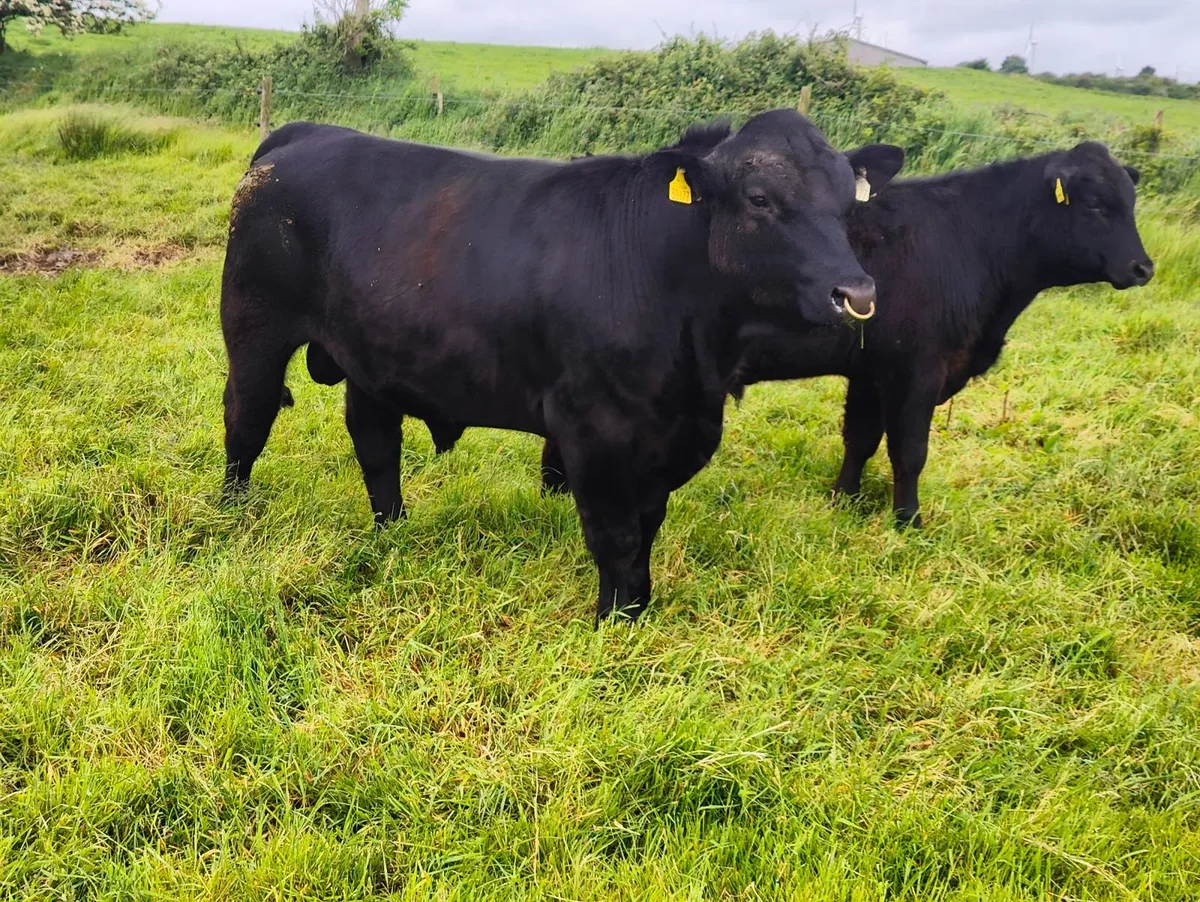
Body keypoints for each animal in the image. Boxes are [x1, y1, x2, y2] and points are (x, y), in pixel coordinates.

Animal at [219, 111, 906, 621]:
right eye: (760, 199)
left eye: (848, 207)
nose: (857, 293)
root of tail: (307, 133)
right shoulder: (592, 428)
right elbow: (615, 533)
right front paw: (613, 625)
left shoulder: (670, 435)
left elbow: (646, 527)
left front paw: (639, 610)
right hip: (254, 327)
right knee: (246, 420)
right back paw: (231, 513)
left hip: (371, 355)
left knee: (376, 443)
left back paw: (392, 530)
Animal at [538, 136, 1155, 529]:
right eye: (1095, 204)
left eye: (1131, 201)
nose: (1143, 267)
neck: (969, 240)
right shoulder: (917, 369)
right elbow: (910, 451)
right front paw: (908, 523)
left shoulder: (870, 369)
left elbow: (860, 439)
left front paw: (843, 500)